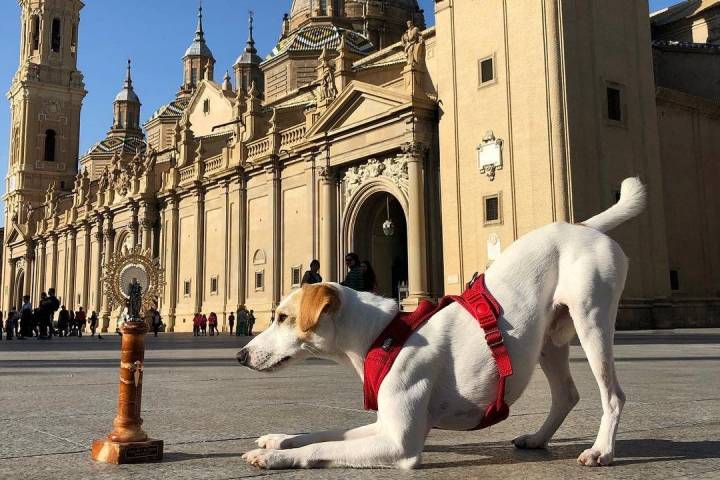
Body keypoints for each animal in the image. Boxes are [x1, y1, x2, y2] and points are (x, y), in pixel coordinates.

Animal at [238, 176, 648, 468]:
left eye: (283, 317)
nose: (240, 355)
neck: (382, 335)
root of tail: (584, 226)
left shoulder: (399, 443)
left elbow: (319, 447)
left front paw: (273, 456)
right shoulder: (383, 425)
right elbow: (321, 433)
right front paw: (278, 439)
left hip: (592, 321)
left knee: (613, 394)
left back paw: (601, 450)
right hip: (549, 340)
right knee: (566, 394)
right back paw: (537, 440)